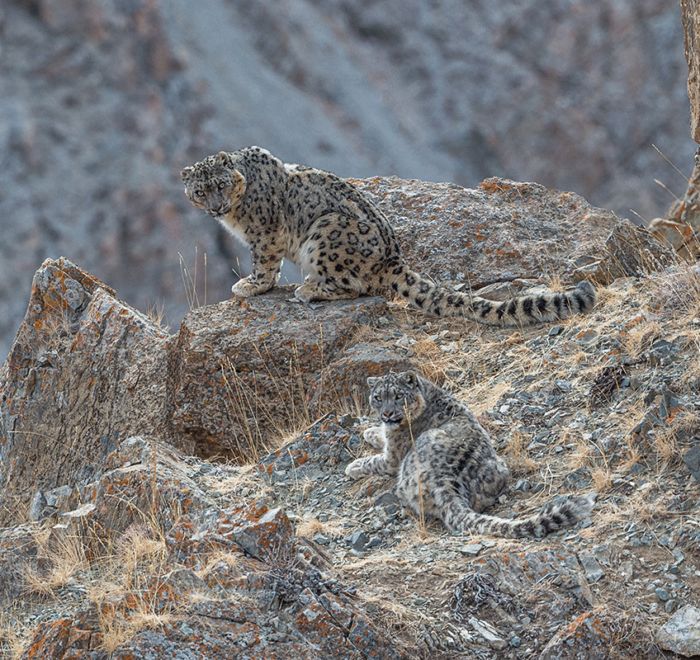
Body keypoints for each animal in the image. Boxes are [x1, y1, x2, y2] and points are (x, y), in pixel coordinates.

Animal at [181, 146, 596, 327]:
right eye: (200, 191)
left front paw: (250, 285)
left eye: (221, 185)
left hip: (326, 232)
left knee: (353, 285)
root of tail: (393, 258)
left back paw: (310, 288)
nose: (216, 207)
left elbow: (265, 265)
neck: (235, 215)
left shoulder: (265, 233)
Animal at [345, 371, 595, 538]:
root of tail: (447, 484)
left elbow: (376, 459)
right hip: (499, 469)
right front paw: (371, 430)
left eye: (398, 396)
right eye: (378, 397)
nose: (387, 414)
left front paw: (354, 464)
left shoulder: (393, 456)